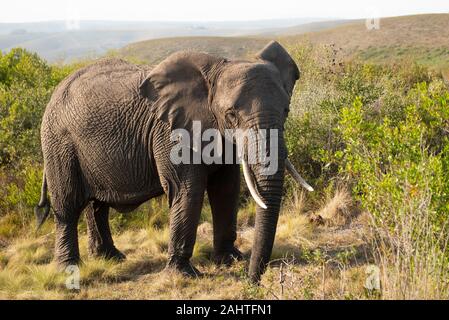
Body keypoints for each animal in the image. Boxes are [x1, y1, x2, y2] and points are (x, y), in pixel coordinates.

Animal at [35, 40, 314, 282]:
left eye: (286, 111)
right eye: (231, 115)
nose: (252, 280)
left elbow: (226, 188)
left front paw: (231, 259)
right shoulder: (170, 132)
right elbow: (187, 190)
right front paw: (183, 274)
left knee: (98, 205)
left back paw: (110, 258)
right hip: (59, 144)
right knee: (67, 207)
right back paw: (68, 269)